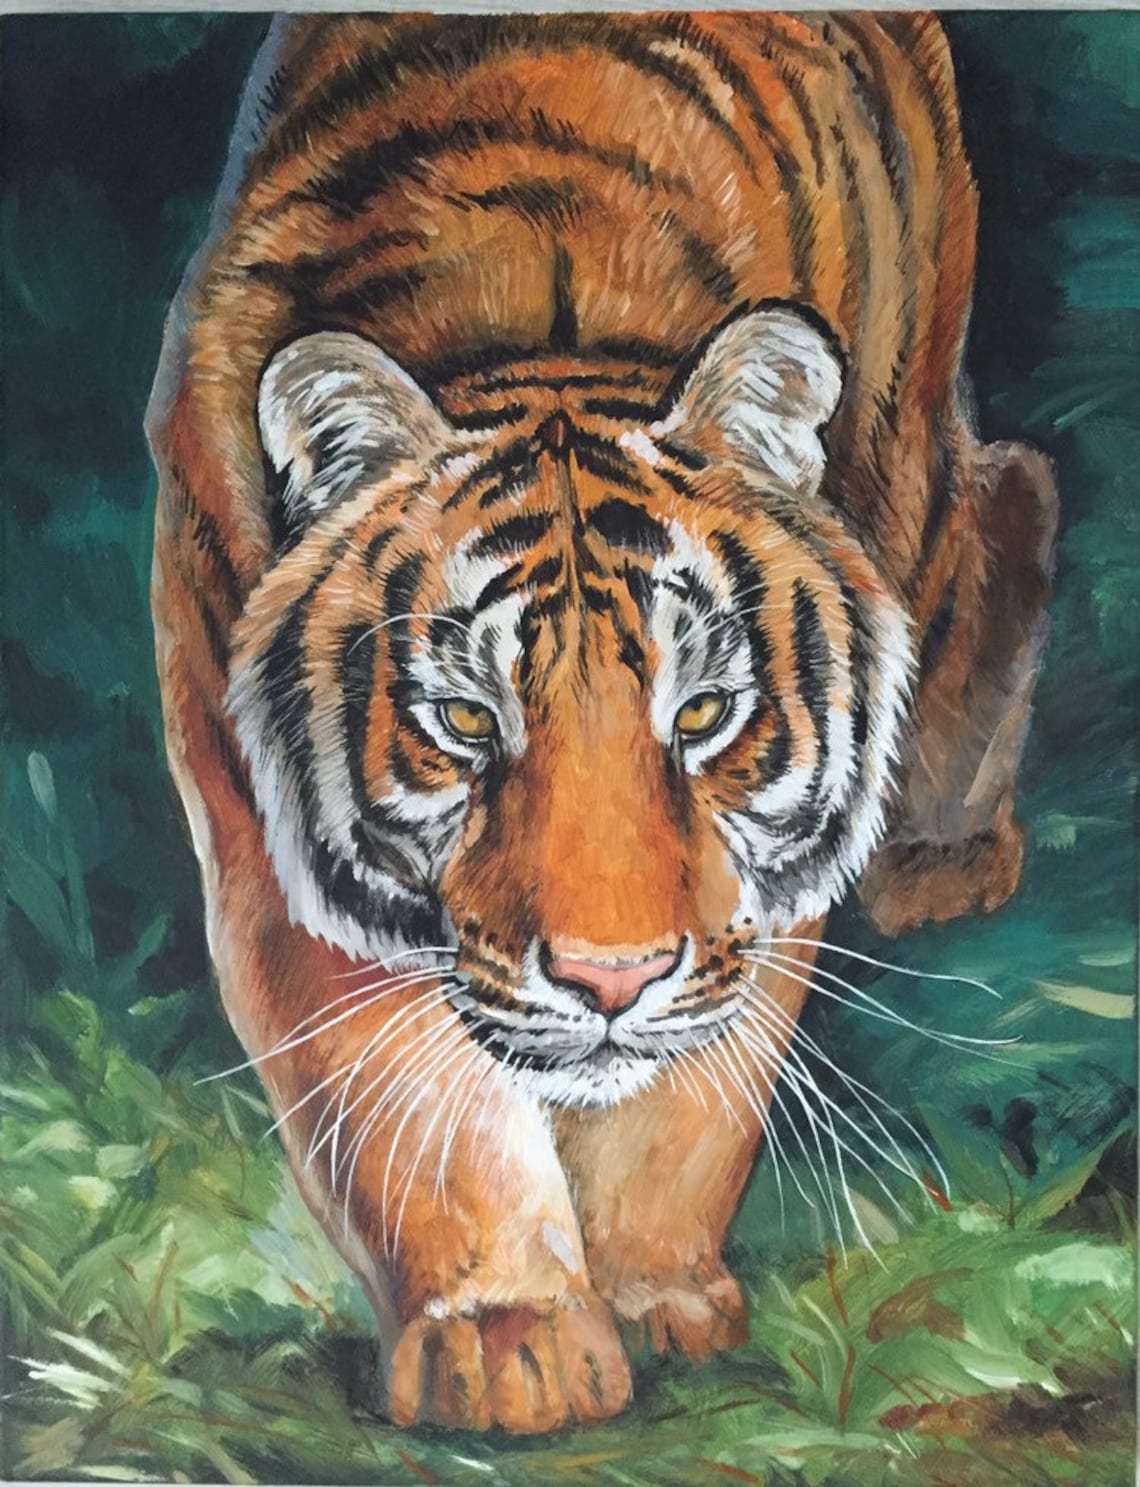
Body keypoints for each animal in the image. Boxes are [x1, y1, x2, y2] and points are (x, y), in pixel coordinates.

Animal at [148, 12, 1057, 1434]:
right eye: (465, 719)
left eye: (705, 711)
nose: (610, 980)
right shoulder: (259, 807)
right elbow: (404, 1084)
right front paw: (505, 1335)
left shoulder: (749, 894)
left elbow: (693, 1088)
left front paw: (651, 1288)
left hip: (909, 422)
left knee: (1009, 491)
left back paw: (944, 856)